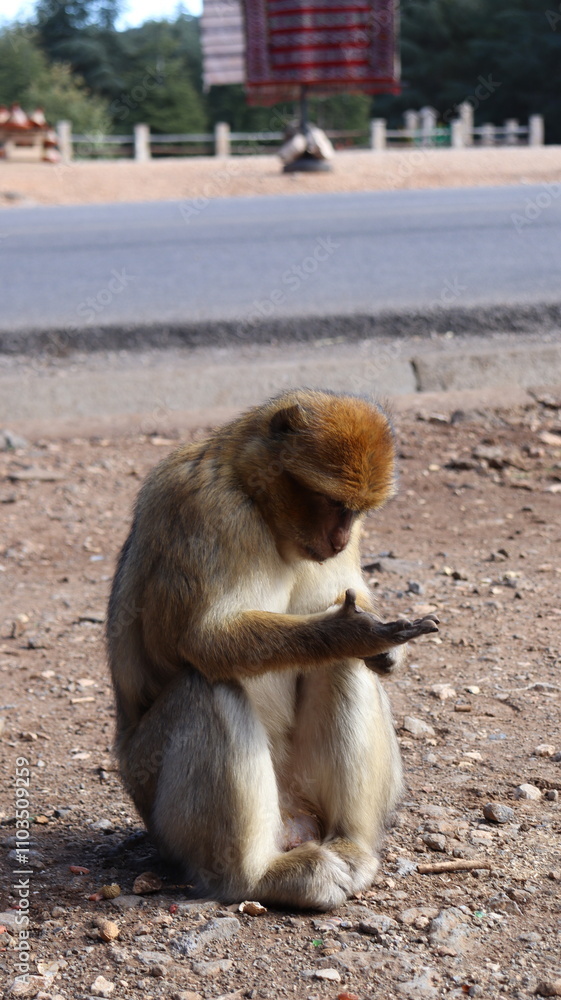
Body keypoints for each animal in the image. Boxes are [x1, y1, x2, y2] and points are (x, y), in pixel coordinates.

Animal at [107, 389, 438, 910]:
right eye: (330, 502)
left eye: (356, 511)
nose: (341, 537)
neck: (254, 495)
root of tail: (292, 822)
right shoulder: (210, 510)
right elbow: (206, 640)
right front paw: (351, 634)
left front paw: (386, 654)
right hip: (153, 793)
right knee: (208, 689)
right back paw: (257, 878)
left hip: (302, 790)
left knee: (343, 671)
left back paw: (350, 843)